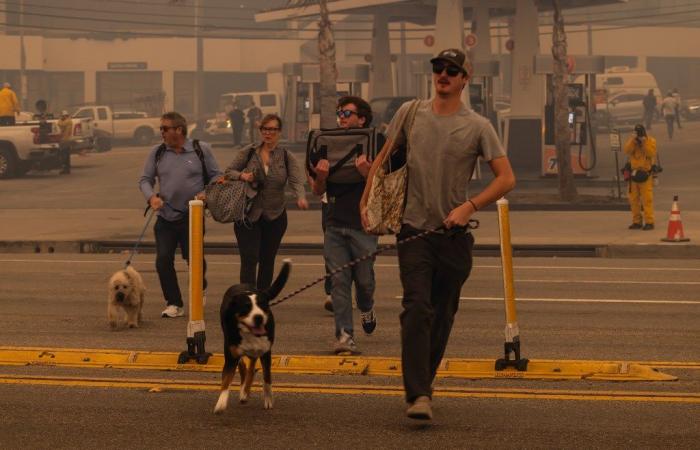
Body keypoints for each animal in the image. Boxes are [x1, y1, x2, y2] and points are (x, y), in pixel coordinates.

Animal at [213, 258, 290, 414]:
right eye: (246, 307)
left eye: (263, 305)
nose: (258, 317)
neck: (249, 334)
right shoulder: (231, 355)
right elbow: (226, 380)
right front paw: (221, 403)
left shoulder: (266, 351)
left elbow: (267, 377)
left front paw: (268, 399)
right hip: (231, 344)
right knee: (244, 366)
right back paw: (243, 390)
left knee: (251, 367)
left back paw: (245, 391)